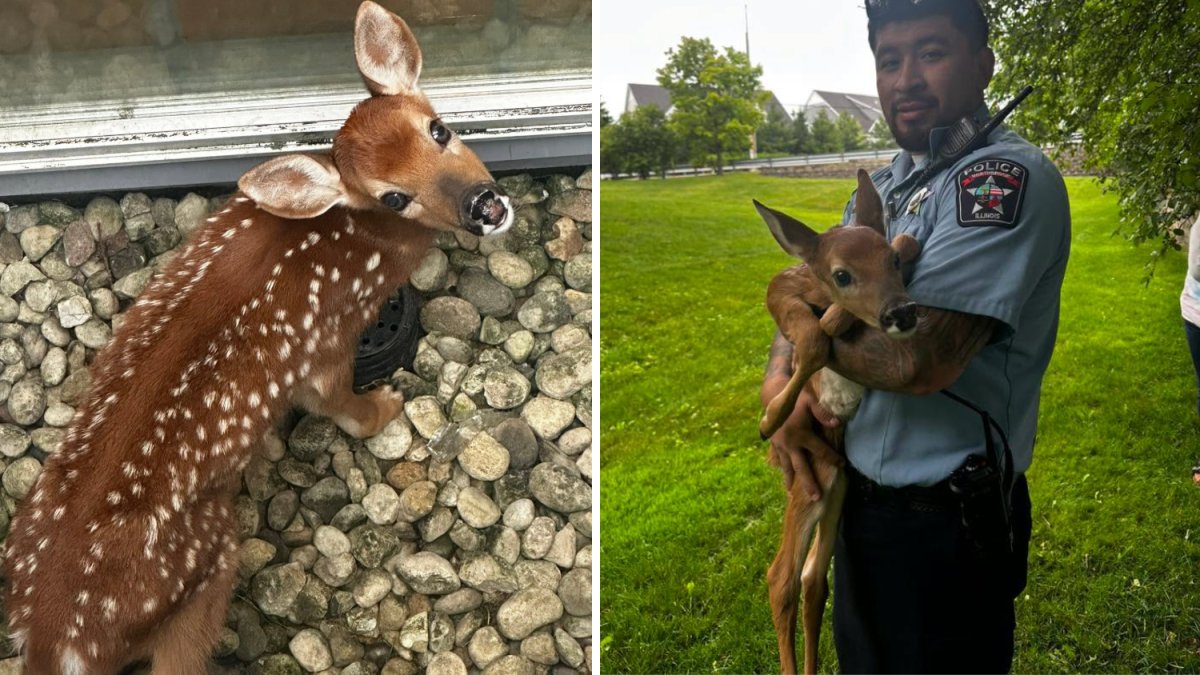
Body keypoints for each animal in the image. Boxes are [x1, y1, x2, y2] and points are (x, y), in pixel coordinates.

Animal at [2, 3, 513, 673]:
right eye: (393, 197)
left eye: (440, 129)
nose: (483, 204)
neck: (358, 237)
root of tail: (56, 640)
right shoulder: (325, 340)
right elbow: (339, 408)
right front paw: (386, 405)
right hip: (209, 560)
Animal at [754, 169, 921, 675]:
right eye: (842, 274)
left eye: (889, 261)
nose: (901, 312)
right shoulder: (780, 285)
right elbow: (810, 337)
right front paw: (773, 417)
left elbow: (905, 238)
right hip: (812, 479)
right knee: (780, 577)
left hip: (836, 483)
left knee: (812, 578)